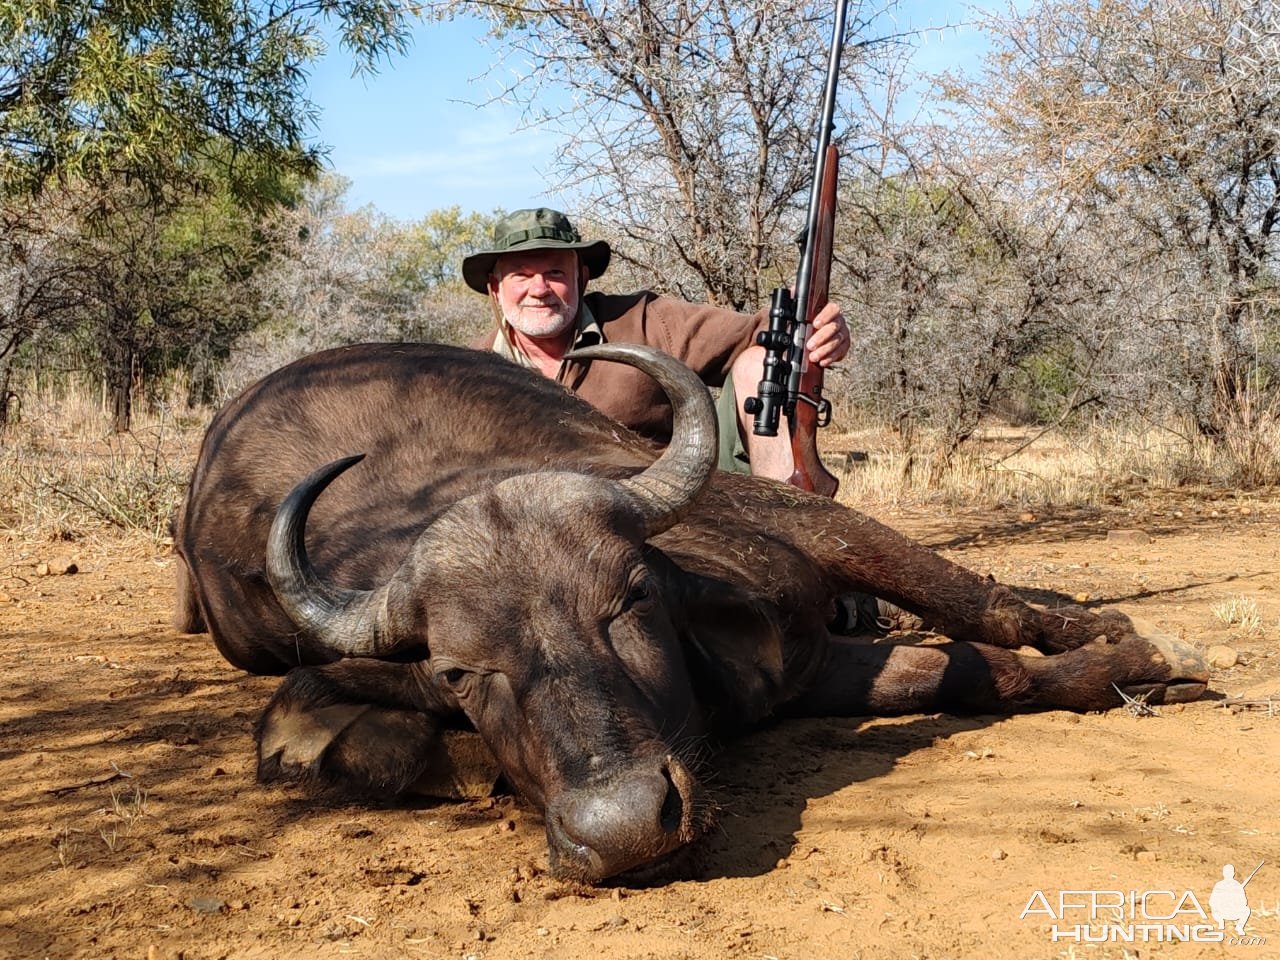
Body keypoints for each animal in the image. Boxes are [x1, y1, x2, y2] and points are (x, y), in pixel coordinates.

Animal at [172, 343, 1208, 885]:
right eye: (460, 672)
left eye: (628, 598)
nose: (627, 827)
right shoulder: (812, 675)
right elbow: (967, 676)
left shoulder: (812, 530)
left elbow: (980, 609)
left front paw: (1138, 650)